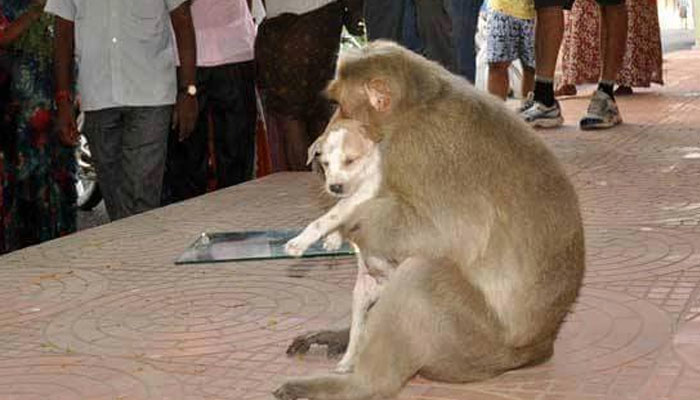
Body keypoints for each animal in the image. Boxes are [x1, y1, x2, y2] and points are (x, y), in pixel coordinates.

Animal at [274, 40, 585, 400]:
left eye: (339, 105)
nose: (329, 126)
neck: (414, 109)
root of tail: (541, 346)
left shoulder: (412, 150)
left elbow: (446, 233)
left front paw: (345, 225)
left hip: (472, 344)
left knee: (421, 274)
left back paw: (360, 384)